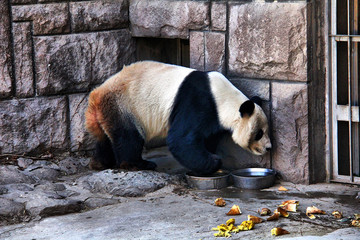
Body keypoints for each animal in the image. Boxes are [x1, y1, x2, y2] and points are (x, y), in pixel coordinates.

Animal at [85, 61, 270, 175]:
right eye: (259, 133)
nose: (268, 147)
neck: (222, 98)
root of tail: (95, 96)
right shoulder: (197, 101)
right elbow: (181, 139)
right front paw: (214, 162)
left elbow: (207, 137)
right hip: (123, 106)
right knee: (129, 138)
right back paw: (137, 164)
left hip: (107, 112)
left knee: (105, 139)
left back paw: (101, 162)